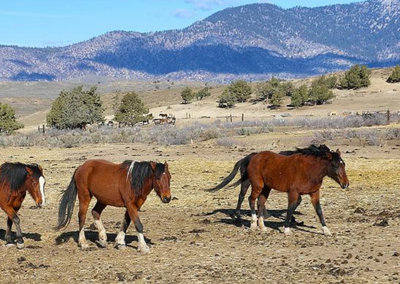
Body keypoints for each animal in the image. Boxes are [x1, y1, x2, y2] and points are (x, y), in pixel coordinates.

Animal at [208, 145, 348, 236]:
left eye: (343, 164)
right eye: (335, 165)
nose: (345, 184)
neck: (309, 170)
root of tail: (252, 158)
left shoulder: (314, 193)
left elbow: (319, 210)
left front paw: (326, 230)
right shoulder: (293, 193)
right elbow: (290, 208)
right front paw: (286, 229)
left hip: (266, 188)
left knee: (260, 202)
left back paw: (263, 227)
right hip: (257, 185)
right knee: (250, 199)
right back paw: (253, 224)